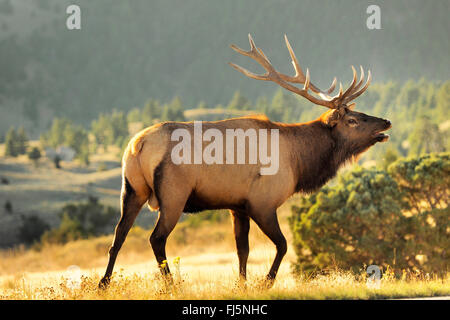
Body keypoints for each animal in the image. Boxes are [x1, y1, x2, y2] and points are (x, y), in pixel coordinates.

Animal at [98, 33, 390, 288]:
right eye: (352, 120)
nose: (385, 122)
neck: (299, 163)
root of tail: (138, 145)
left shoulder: (237, 206)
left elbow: (242, 250)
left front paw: (243, 284)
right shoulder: (262, 202)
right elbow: (282, 245)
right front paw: (266, 283)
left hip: (132, 188)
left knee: (118, 235)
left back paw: (104, 283)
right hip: (174, 194)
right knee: (156, 238)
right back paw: (172, 285)